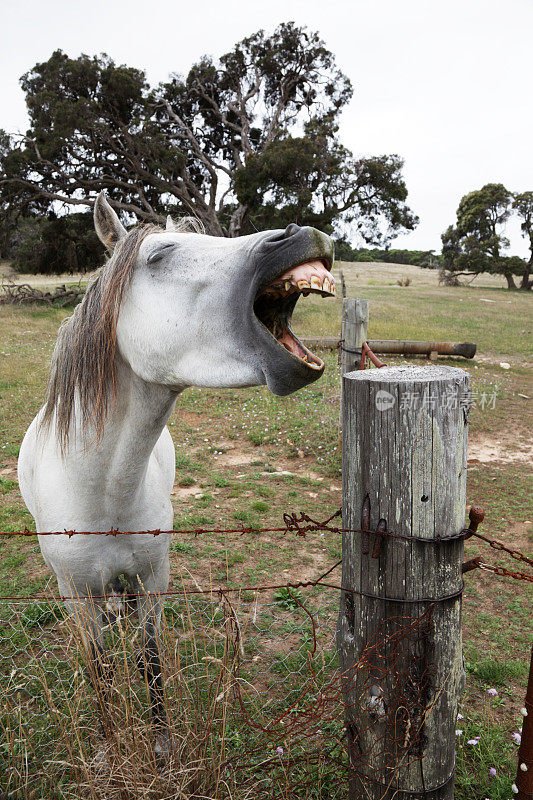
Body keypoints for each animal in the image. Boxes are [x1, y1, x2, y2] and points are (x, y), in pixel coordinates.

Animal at [17, 192, 332, 752]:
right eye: (160, 255)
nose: (302, 235)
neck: (103, 493)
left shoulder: (153, 579)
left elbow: (149, 661)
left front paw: (161, 744)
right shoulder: (75, 595)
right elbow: (99, 667)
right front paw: (111, 744)